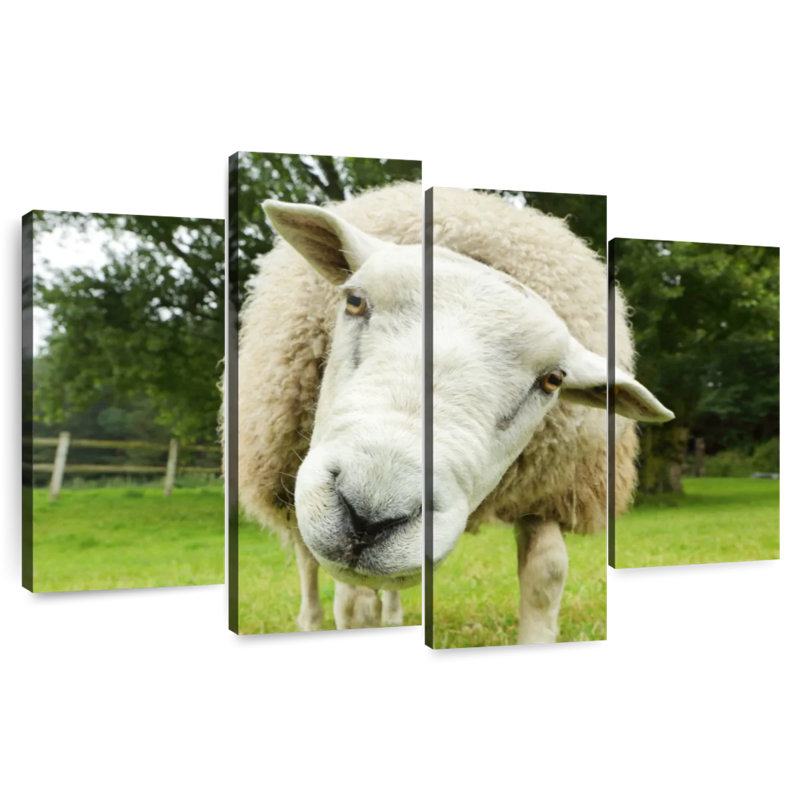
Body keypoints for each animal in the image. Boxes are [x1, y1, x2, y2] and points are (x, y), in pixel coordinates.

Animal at [238, 182, 673, 641]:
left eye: (553, 380)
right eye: (355, 300)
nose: (369, 516)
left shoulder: (547, 492)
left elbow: (547, 574)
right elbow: (353, 606)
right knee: (306, 558)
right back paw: (310, 621)